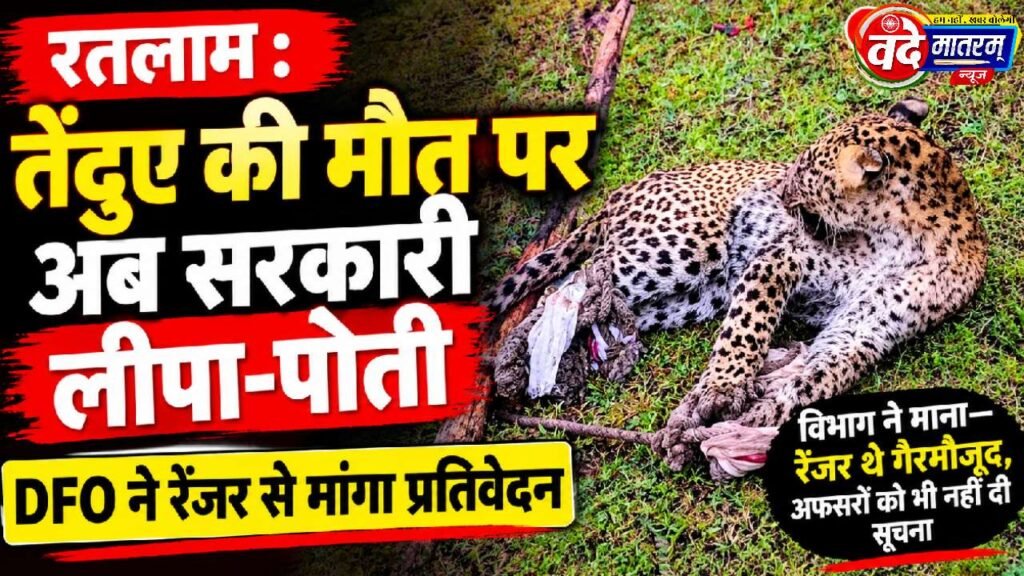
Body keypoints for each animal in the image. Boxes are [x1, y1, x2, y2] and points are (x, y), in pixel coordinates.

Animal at [485, 98, 988, 472]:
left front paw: (754, 419)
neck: (903, 236)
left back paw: (560, 361)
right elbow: (747, 328)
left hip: (693, 297)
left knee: (603, 304)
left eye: (804, 174)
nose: (779, 192)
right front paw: (723, 390)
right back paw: (517, 359)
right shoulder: (781, 259)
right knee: (576, 280)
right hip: (683, 249)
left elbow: (819, 377)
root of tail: (617, 195)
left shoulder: (865, 328)